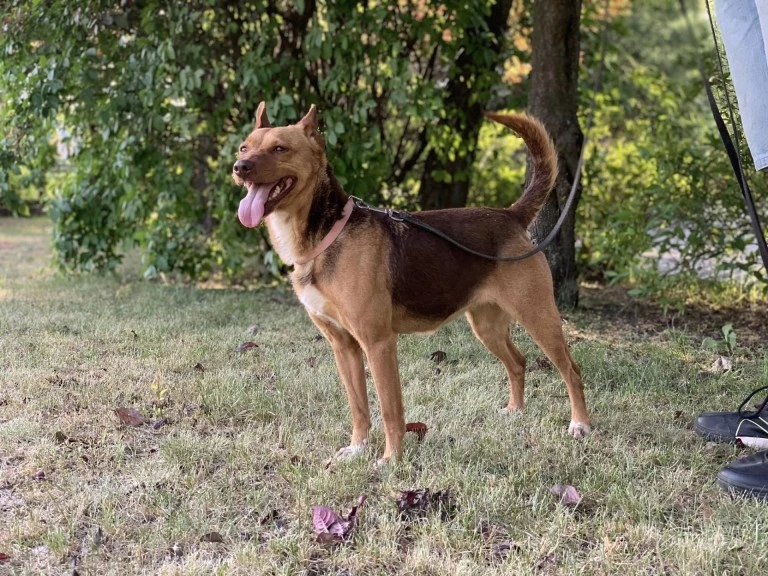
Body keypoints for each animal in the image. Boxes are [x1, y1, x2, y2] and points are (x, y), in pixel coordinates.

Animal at [231, 104, 592, 464]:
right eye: (244, 148)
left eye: (280, 148)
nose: (239, 168)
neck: (325, 233)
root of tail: (510, 215)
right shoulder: (343, 346)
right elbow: (359, 408)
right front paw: (358, 448)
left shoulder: (378, 344)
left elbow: (391, 411)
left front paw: (391, 460)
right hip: (486, 326)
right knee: (518, 363)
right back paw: (515, 410)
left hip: (538, 318)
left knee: (572, 370)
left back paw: (580, 424)